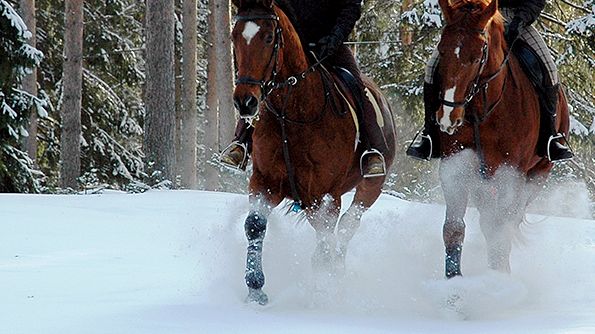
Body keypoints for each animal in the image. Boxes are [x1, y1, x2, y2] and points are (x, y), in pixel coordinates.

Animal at [232, 0, 396, 306]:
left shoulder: (325, 194)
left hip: (369, 188)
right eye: (235, 36)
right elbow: (255, 225)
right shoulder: (265, 182)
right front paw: (255, 287)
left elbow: (326, 237)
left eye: (269, 37)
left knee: (346, 226)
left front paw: (323, 290)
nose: (245, 101)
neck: (292, 113)